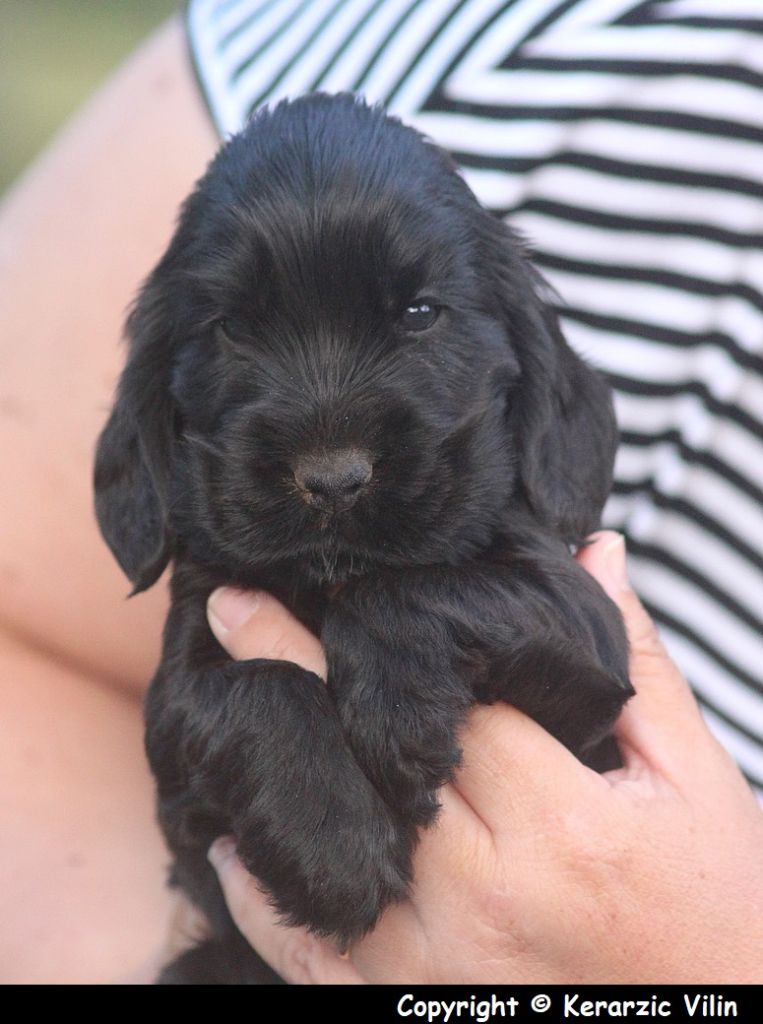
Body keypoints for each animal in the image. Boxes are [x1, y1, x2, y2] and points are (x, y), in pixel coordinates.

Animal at [94, 93, 632, 983]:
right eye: (233, 328)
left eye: (418, 314)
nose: (333, 479)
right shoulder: (176, 692)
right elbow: (251, 685)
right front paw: (333, 846)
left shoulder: (587, 625)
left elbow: (413, 587)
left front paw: (392, 711)